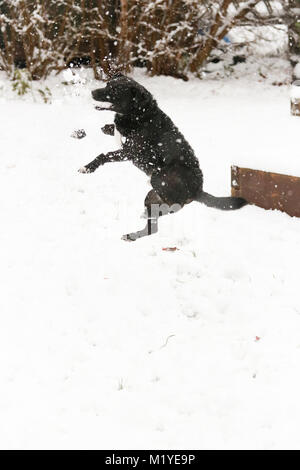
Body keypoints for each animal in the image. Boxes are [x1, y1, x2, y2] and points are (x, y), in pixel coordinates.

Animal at [79, 75, 246, 242]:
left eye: (114, 90)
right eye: (107, 84)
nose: (92, 92)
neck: (139, 114)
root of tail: (198, 190)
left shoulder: (130, 152)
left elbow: (104, 155)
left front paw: (88, 167)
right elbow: (105, 128)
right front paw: (80, 133)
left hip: (160, 178)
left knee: (166, 215)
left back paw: (133, 233)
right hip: (152, 195)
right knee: (157, 221)